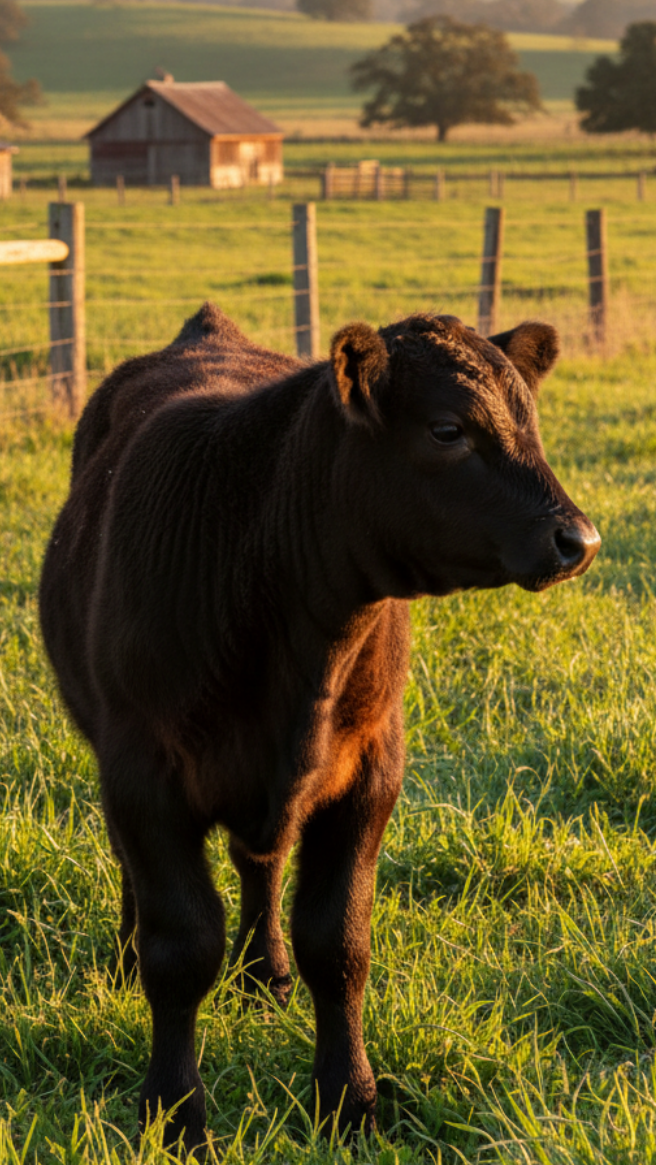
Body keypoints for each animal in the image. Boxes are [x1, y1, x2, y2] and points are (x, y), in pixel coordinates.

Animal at [39, 304, 600, 1151]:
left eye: (528, 421)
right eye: (447, 429)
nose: (579, 540)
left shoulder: (370, 770)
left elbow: (337, 942)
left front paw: (349, 1098)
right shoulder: (143, 771)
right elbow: (180, 948)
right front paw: (174, 1112)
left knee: (260, 863)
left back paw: (263, 970)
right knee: (141, 874)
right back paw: (127, 959)